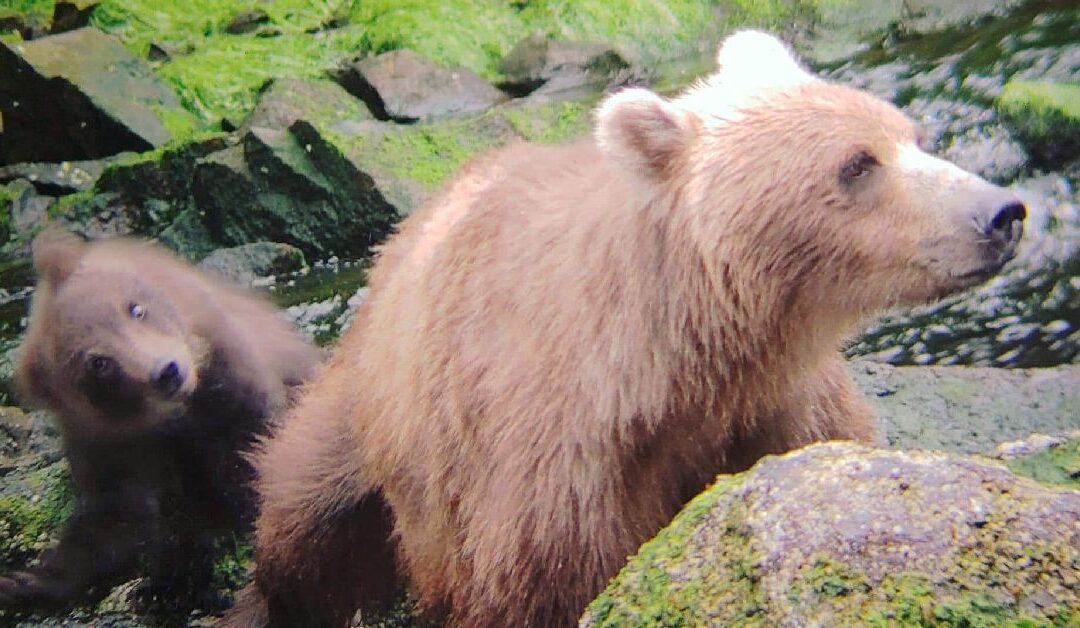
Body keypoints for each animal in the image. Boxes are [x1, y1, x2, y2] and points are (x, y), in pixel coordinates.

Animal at [0, 231, 321, 615]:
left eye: (135, 308)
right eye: (99, 363)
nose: (167, 371)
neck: (169, 419)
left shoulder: (225, 379)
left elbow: (250, 447)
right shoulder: (105, 444)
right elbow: (113, 520)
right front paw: (25, 581)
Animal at [225, 31, 1026, 628]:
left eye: (910, 134)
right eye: (857, 163)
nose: (1001, 213)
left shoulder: (781, 405)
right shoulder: (552, 466)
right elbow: (542, 585)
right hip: (375, 421)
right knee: (301, 521)